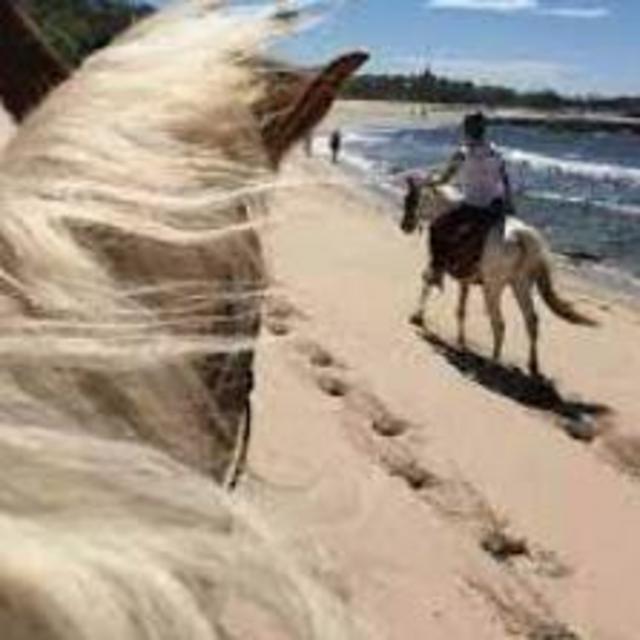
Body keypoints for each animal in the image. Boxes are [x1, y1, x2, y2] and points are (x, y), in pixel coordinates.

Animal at [401, 179, 597, 376]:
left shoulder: (437, 262)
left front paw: (417, 317)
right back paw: (533, 365)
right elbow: (461, 309)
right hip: (521, 284)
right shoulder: (465, 278)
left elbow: (427, 282)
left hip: (493, 286)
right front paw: (460, 340)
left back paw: (493, 362)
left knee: (500, 324)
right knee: (531, 320)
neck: (445, 210)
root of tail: (520, 235)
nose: (405, 226)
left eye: (410, 199)